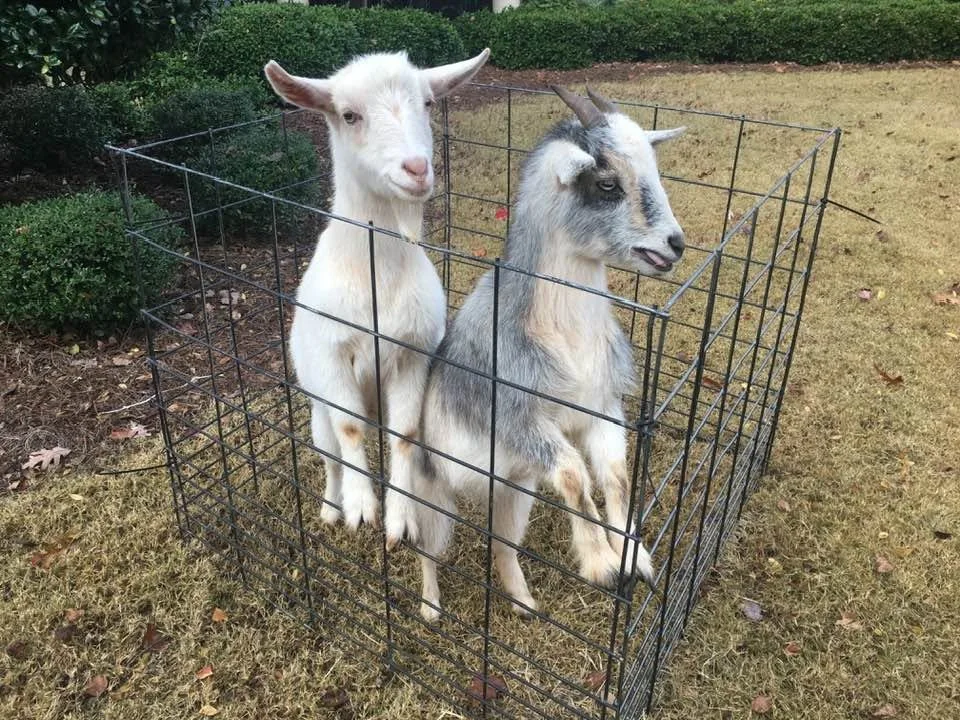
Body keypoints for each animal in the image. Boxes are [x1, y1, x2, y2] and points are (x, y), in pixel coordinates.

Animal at [263, 48, 490, 548]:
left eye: (428, 103)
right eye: (349, 115)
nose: (417, 169)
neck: (375, 276)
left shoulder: (412, 353)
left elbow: (403, 435)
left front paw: (399, 520)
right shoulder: (332, 352)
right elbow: (350, 429)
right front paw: (361, 508)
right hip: (316, 409)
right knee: (330, 454)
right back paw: (331, 506)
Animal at [412, 86, 686, 621]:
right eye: (606, 183)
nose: (675, 244)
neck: (563, 333)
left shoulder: (600, 409)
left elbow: (616, 476)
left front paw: (635, 558)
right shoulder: (520, 419)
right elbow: (575, 474)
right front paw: (602, 563)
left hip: (514, 490)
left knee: (501, 545)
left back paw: (522, 603)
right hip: (430, 494)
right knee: (428, 552)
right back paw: (430, 608)